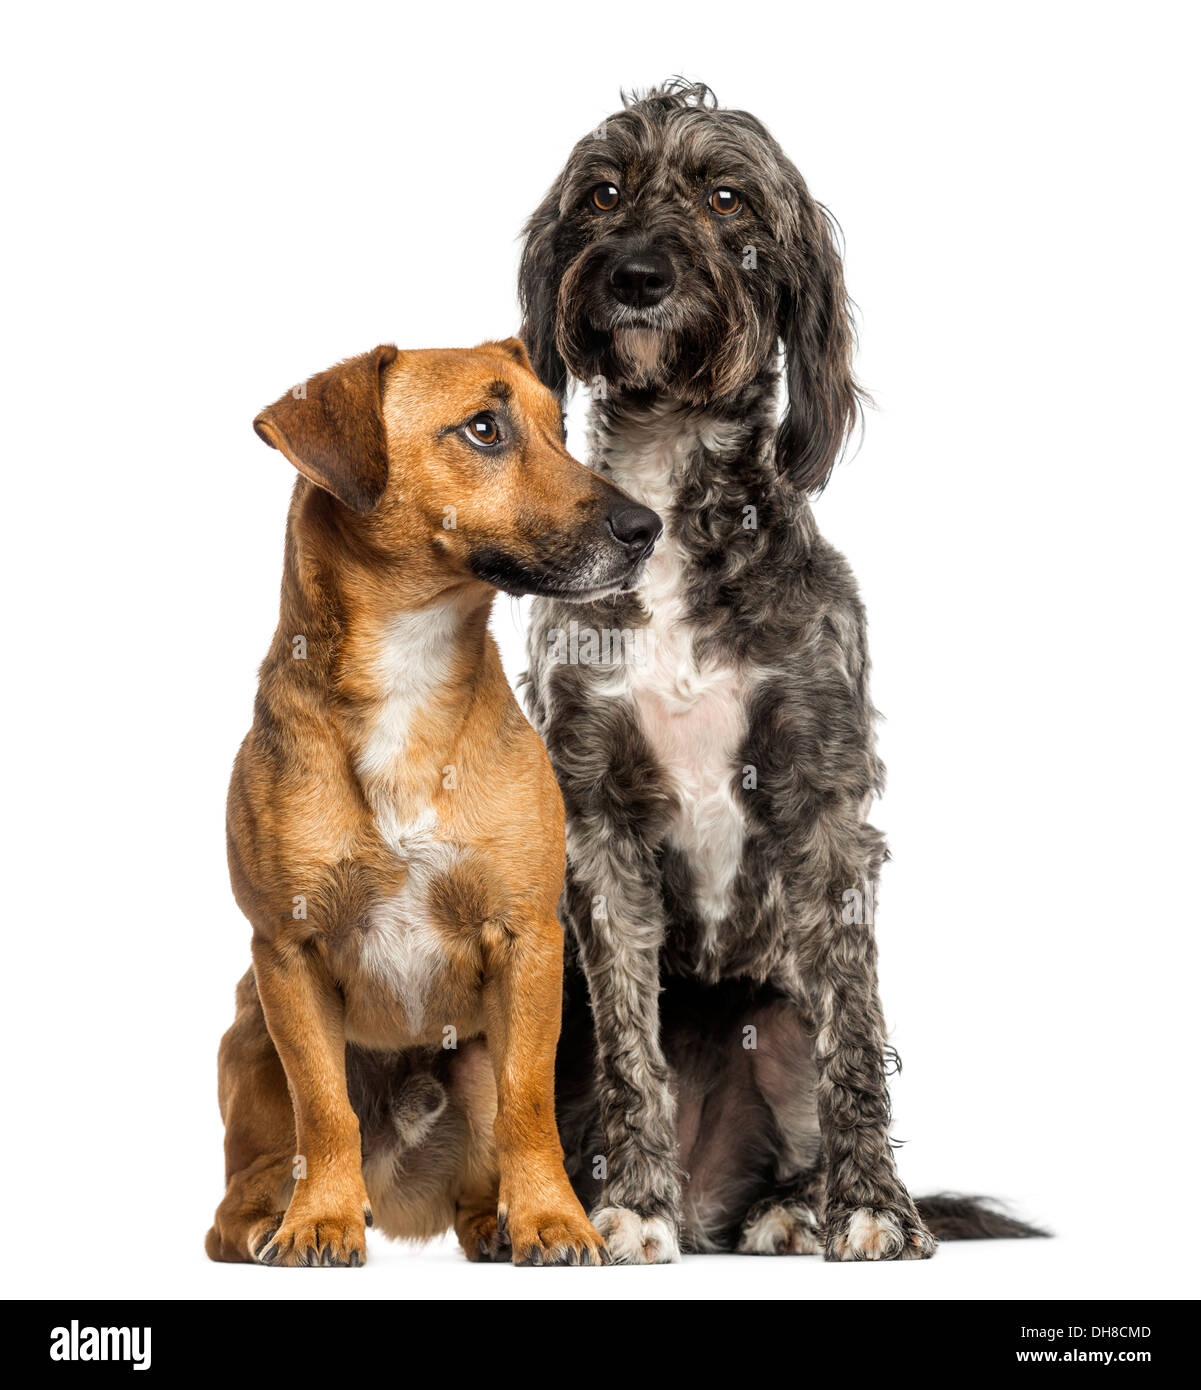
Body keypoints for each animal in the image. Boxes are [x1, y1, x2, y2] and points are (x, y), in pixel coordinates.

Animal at [202, 341, 661, 1267]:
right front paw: (320, 1220)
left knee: (484, 1161)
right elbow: (324, 1111)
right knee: (241, 1197)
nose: (647, 528)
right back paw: (273, 1221)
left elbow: (527, 1106)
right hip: (249, 1037)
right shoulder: (287, 952)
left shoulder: (528, 941)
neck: (411, 668)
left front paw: (553, 1219)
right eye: (483, 429)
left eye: (560, 430)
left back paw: (495, 1222)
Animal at [517, 81, 1039, 1267]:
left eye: (726, 197)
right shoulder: (597, 822)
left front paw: (870, 1206)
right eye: (601, 192)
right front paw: (632, 1203)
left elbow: (854, 1032)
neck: (670, 501)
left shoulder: (821, 802)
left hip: (777, 1016)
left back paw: (796, 1203)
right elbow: (631, 1049)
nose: (636, 274)